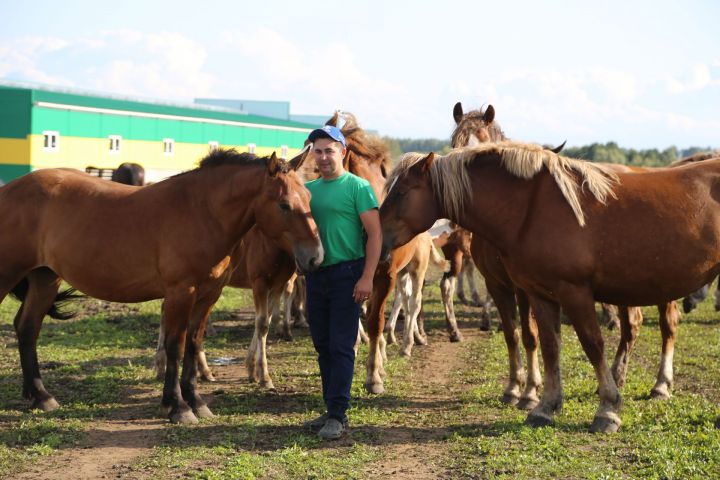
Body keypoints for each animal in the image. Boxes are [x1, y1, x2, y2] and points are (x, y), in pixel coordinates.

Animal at [0, 149, 320, 424]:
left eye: (308, 197)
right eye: (284, 204)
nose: (315, 256)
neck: (201, 210)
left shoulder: (209, 294)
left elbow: (193, 344)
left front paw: (196, 402)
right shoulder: (181, 292)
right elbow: (175, 346)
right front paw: (178, 406)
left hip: (45, 278)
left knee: (27, 328)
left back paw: (41, 396)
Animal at [380, 142, 720, 432]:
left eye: (401, 192)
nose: (377, 237)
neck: (530, 208)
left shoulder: (574, 292)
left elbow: (592, 344)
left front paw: (607, 409)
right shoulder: (540, 294)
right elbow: (548, 345)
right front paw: (545, 406)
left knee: (666, 327)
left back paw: (660, 385)